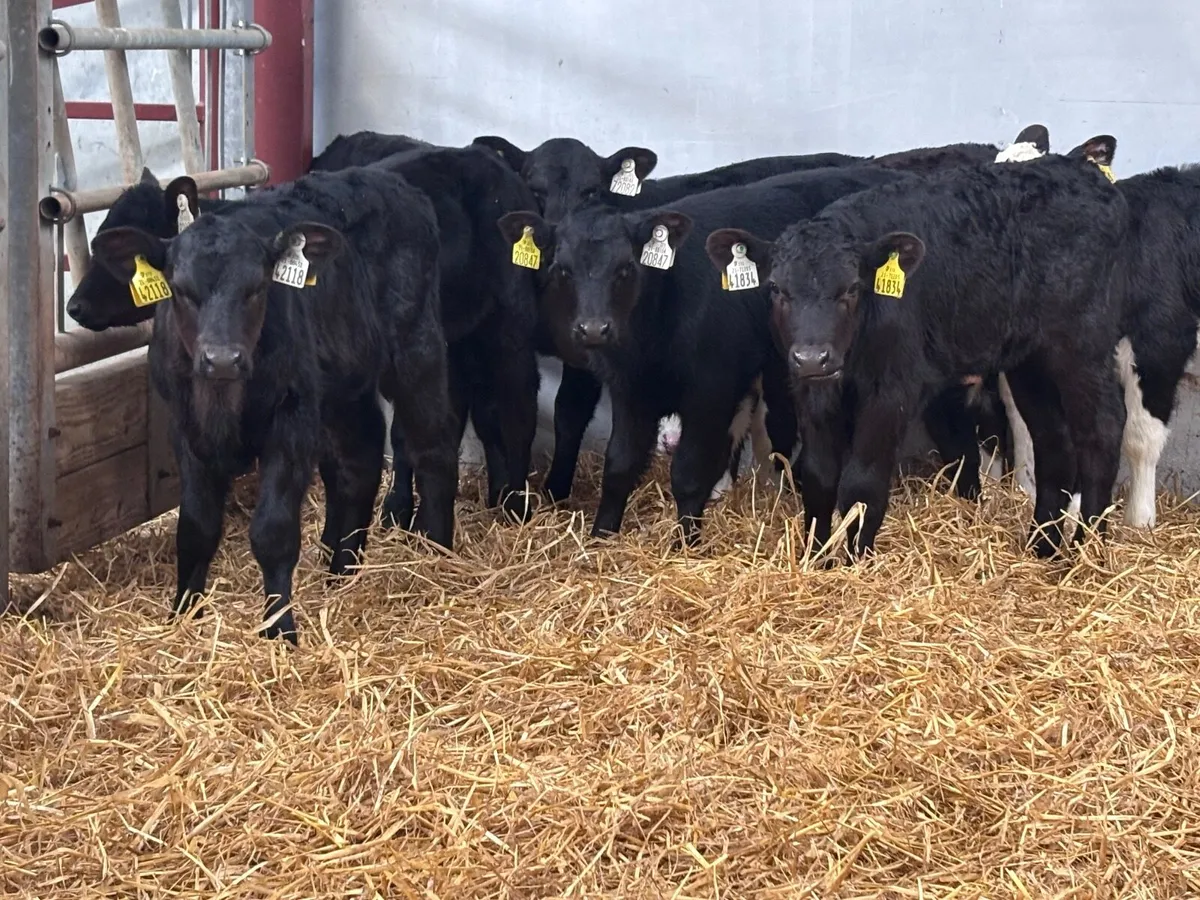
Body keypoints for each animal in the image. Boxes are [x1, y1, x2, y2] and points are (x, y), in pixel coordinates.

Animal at [89, 167, 458, 643]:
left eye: (257, 288)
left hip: (417, 348)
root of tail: (391, 180)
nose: (222, 358)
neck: (224, 399)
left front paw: (279, 629)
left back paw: (438, 553)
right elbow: (195, 528)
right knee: (361, 459)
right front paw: (183, 616)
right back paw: (343, 571)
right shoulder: (185, 429)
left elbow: (273, 531)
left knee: (434, 444)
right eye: (181, 290)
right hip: (343, 385)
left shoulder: (292, 421)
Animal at [497, 164, 915, 544]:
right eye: (562, 269)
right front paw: (602, 537)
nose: (594, 328)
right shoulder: (631, 392)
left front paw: (685, 543)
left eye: (626, 267)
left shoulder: (709, 392)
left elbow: (688, 473)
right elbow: (619, 465)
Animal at [705, 154, 1129, 560]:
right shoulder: (813, 391)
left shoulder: (892, 389)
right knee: (1053, 442)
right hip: (1030, 360)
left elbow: (863, 483)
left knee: (1102, 429)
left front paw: (854, 563)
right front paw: (816, 560)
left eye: (852, 288)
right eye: (777, 289)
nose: (812, 356)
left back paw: (1086, 548)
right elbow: (819, 477)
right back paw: (1042, 547)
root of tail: (1086, 176)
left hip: (1082, 345)